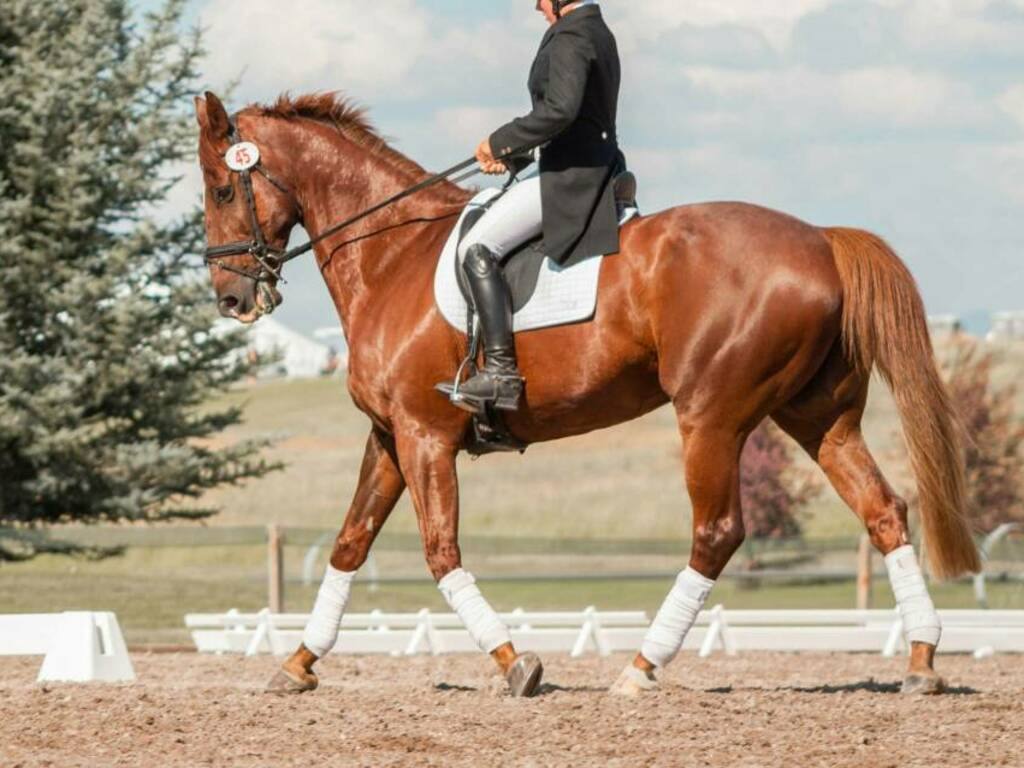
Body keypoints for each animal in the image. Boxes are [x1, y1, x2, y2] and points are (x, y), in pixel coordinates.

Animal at [194, 90, 979, 697]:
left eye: (223, 188)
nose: (232, 299)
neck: (391, 254)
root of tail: (819, 239)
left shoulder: (424, 436)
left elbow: (440, 551)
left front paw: (516, 664)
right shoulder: (390, 435)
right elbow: (351, 543)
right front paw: (298, 664)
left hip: (711, 417)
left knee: (717, 532)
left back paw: (640, 667)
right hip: (819, 417)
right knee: (883, 511)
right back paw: (921, 660)